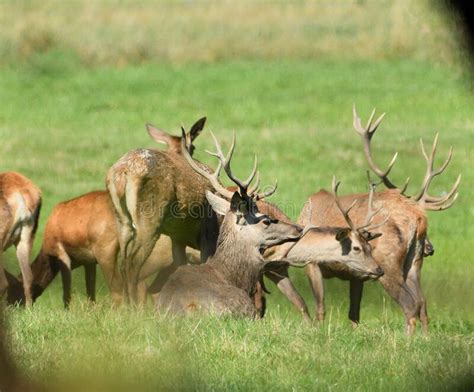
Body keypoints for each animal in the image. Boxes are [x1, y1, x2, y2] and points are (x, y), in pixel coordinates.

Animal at [6, 191, 200, 308]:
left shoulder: (62, 253)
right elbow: (90, 292)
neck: (47, 253)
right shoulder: (89, 261)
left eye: (11, 291)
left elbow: (66, 292)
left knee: (121, 289)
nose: (11, 307)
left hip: (107, 250)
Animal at [298, 107, 462, 334]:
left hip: (387, 261)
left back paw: (407, 338)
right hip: (414, 264)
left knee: (410, 304)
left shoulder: (311, 262)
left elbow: (321, 309)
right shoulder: (357, 273)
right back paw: (425, 337)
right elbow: (354, 314)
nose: (431, 249)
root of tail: (417, 218)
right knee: (423, 303)